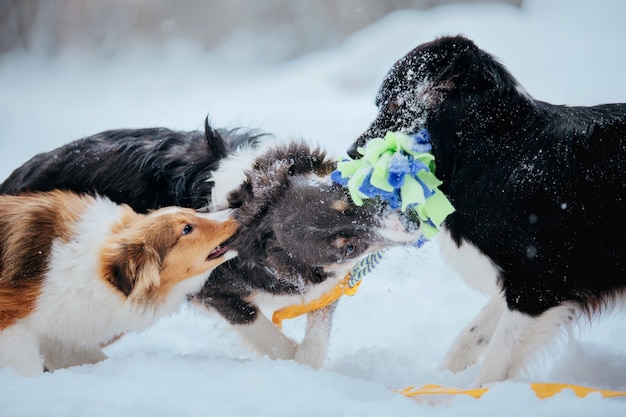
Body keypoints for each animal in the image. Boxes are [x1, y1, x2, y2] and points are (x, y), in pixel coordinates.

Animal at [2, 117, 416, 368]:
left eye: (348, 197)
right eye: (348, 246)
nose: (412, 222)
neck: (246, 196)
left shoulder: (325, 282)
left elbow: (317, 332)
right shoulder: (216, 292)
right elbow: (271, 339)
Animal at [348, 36, 624, 386]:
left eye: (395, 103)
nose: (350, 152)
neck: (492, 150)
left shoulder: (539, 282)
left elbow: (495, 361)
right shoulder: (514, 282)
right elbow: (470, 336)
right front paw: (440, 384)